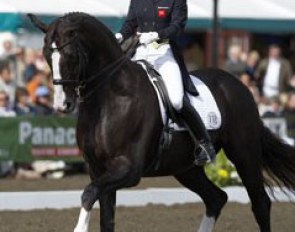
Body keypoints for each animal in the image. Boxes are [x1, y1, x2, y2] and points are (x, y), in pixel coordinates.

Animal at [28, 13, 295, 232]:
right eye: (45, 55)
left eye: (71, 56)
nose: (62, 105)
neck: (109, 99)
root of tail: (239, 85)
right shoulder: (98, 169)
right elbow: (106, 218)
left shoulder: (129, 169)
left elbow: (87, 194)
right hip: (186, 168)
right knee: (216, 199)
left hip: (244, 154)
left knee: (260, 203)